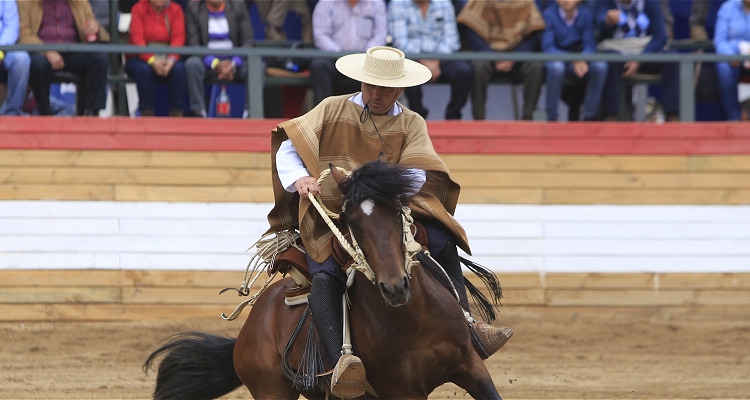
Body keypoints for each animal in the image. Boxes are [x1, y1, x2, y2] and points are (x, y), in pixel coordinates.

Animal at [142, 159, 506, 400]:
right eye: (351, 221)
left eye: (398, 211)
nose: (394, 287)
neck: (417, 321)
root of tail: (247, 331)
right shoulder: (401, 391)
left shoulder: (472, 367)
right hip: (273, 391)